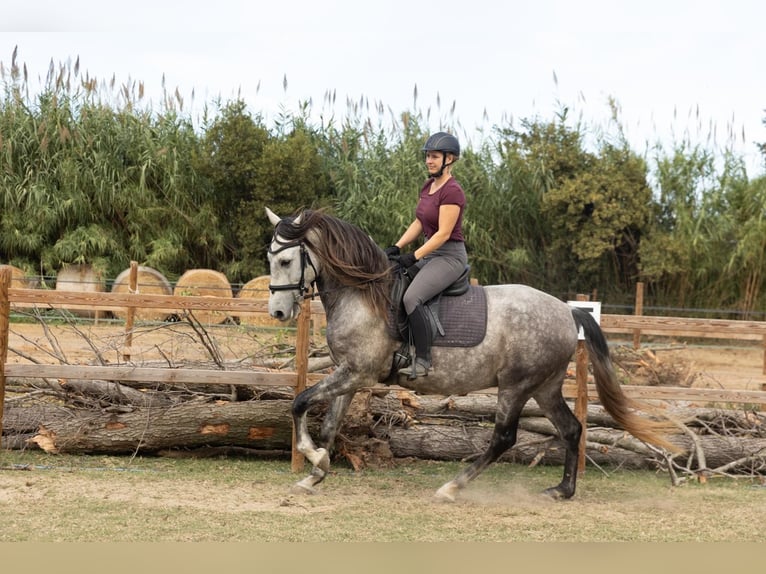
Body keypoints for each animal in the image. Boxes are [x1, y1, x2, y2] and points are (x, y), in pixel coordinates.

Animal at [265, 207, 680, 502]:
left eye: (285, 261)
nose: (278, 313)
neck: (363, 295)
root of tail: (566, 311)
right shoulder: (348, 374)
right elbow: (329, 424)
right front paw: (316, 472)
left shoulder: (357, 374)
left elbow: (300, 402)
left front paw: (312, 457)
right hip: (544, 387)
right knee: (572, 429)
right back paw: (562, 491)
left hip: (515, 386)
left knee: (504, 438)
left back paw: (451, 488)